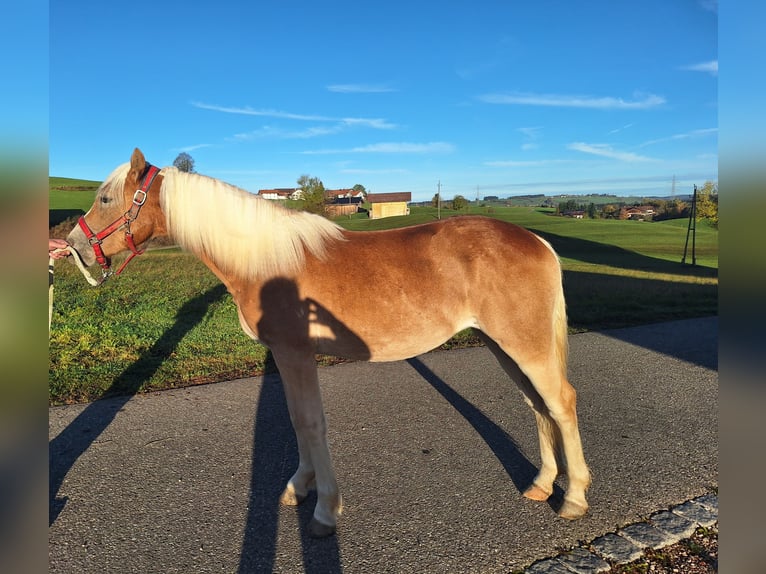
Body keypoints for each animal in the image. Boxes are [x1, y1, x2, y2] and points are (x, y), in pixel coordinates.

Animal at [67, 148, 592, 540]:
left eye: (107, 197)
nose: (74, 246)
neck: (266, 261)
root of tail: (538, 241)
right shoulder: (287, 358)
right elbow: (298, 422)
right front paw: (300, 487)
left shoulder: (296, 354)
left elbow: (309, 424)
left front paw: (324, 510)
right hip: (503, 344)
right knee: (537, 406)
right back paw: (541, 485)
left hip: (524, 343)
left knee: (560, 402)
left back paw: (573, 497)